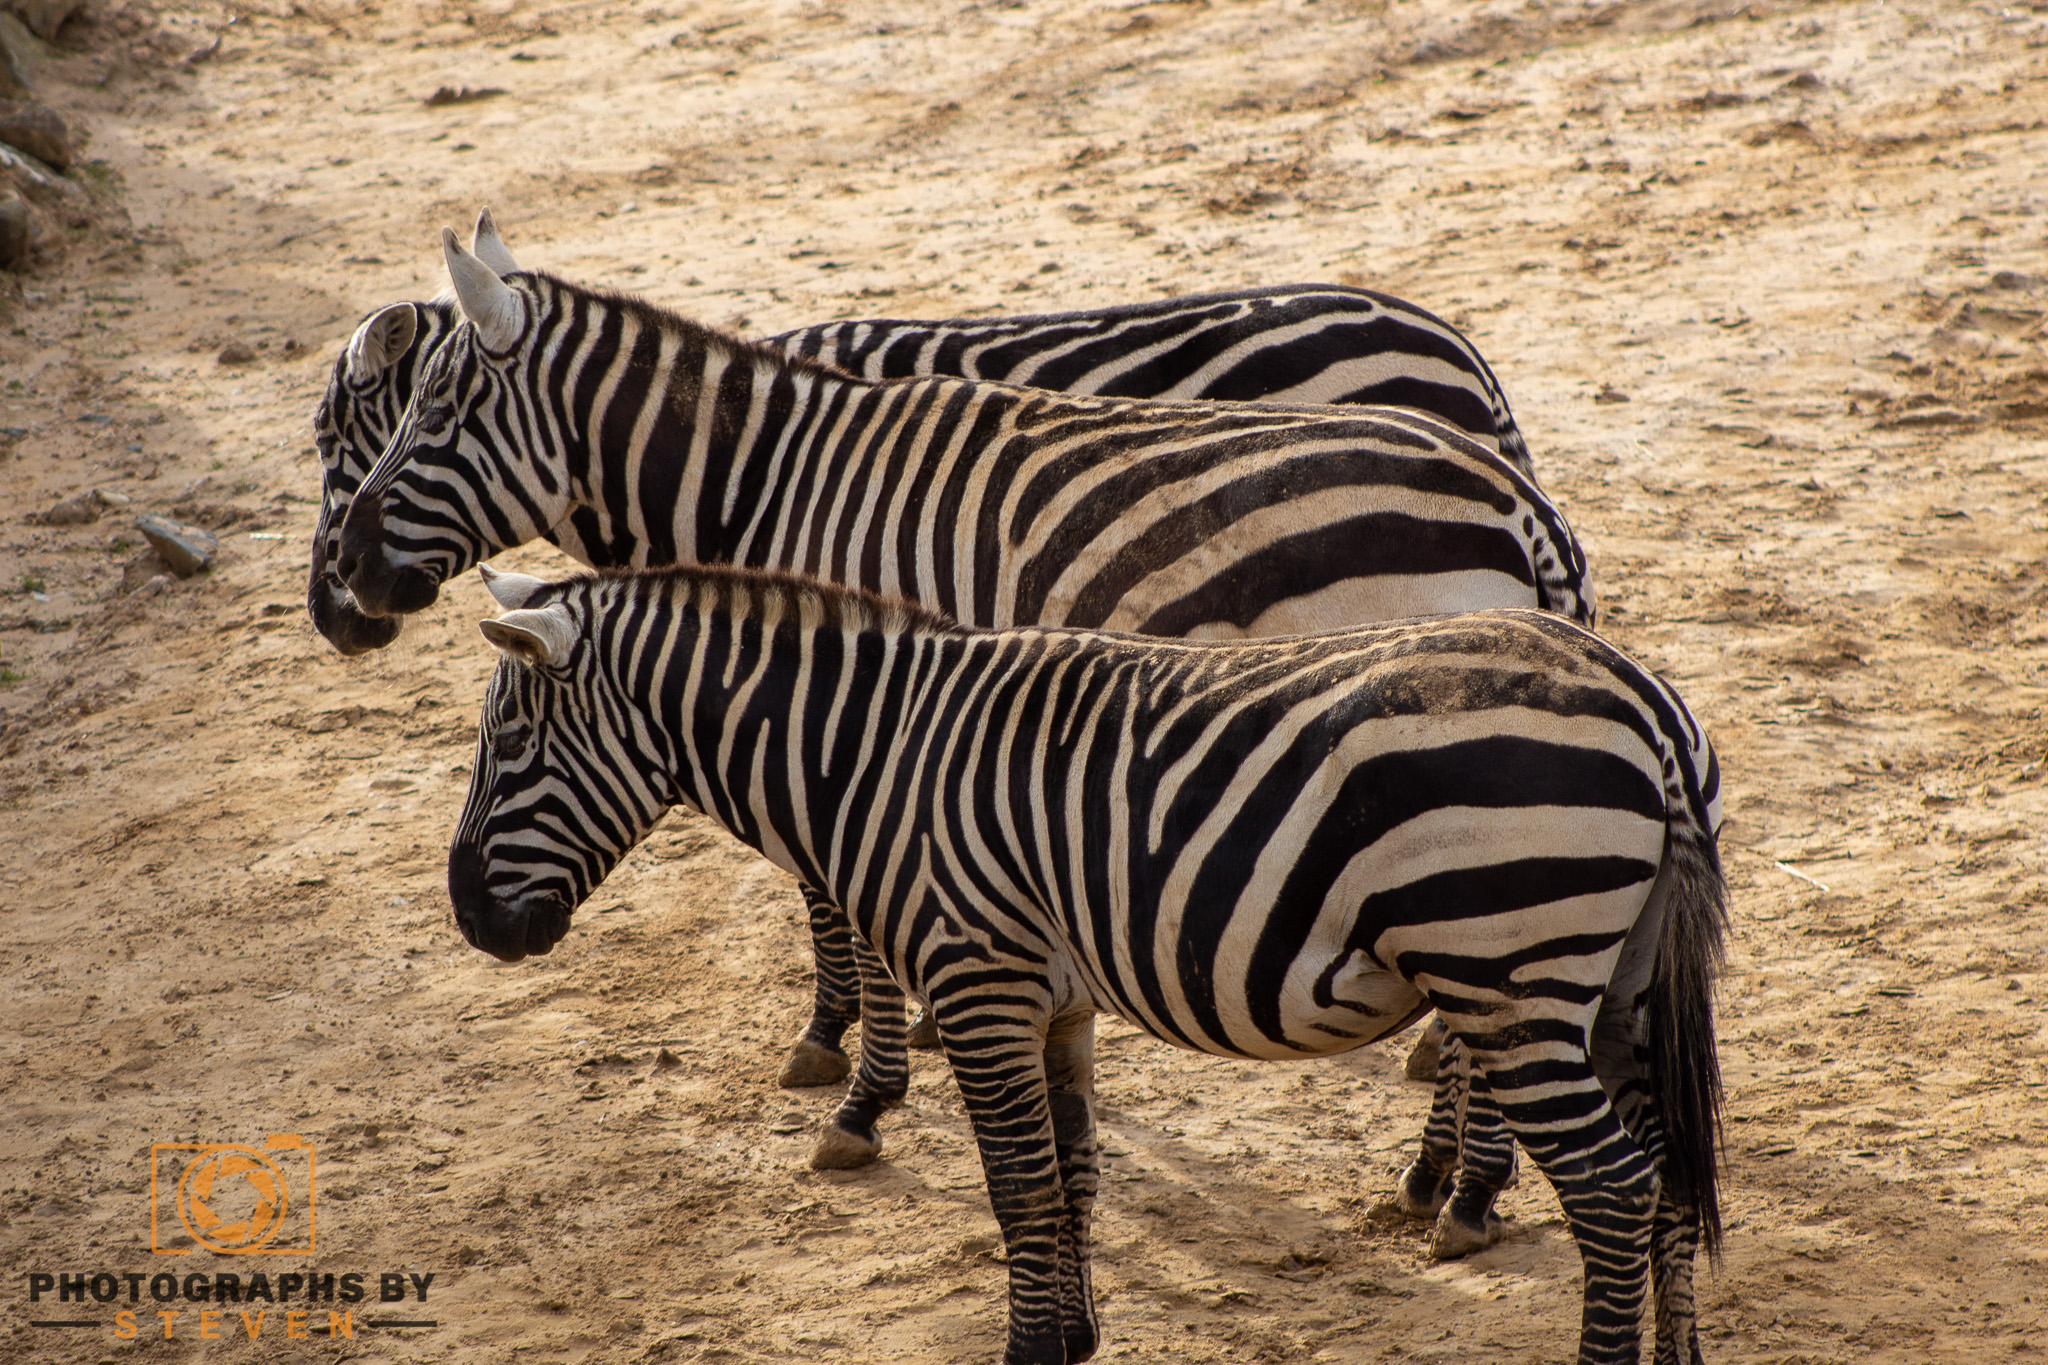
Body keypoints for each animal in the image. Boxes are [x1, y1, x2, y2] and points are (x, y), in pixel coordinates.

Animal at [453, 561, 1727, 1365]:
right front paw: (1072, 1338)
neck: (874, 755)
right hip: (1613, 986)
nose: (468, 918)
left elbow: (1017, 1187)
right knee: (1663, 1174)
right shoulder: (1053, 1001)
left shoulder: (977, 982)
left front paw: (1026, 1352)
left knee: (1610, 1188)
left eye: (509, 741)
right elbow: (1068, 1176)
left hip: (1505, 974)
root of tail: (1641, 701)